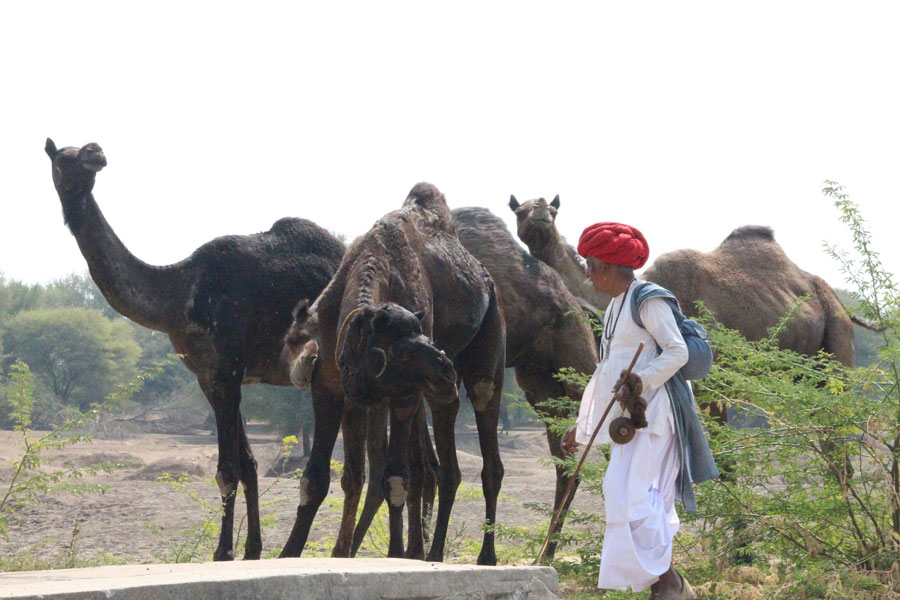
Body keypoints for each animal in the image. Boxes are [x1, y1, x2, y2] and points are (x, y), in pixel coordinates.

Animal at [42, 138, 346, 560]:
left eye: (79, 152)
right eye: (62, 157)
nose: (94, 152)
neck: (177, 294)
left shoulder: (225, 369)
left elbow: (228, 470)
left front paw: (223, 554)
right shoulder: (209, 375)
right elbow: (248, 465)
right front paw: (250, 551)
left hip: (329, 367)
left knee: (322, 474)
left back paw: (293, 554)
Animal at [282, 180, 506, 564]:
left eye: (421, 334)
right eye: (400, 349)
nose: (445, 369)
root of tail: (487, 280)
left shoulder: (402, 394)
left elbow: (395, 478)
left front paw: (395, 552)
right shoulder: (333, 387)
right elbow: (323, 479)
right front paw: (301, 553)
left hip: (488, 344)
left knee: (479, 444)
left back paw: (472, 556)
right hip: (429, 396)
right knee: (437, 466)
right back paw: (424, 550)